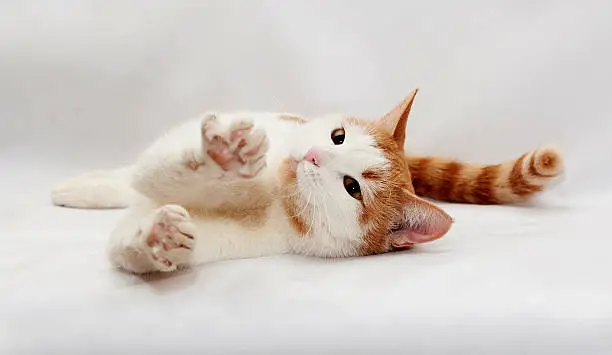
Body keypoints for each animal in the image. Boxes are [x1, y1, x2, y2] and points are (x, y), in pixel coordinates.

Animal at [50, 89, 560, 276]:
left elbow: (129, 242)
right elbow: (167, 169)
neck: (271, 190)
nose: (315, 155)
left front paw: (158, 238)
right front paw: (225, 156)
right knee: (133, 178)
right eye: (338, 136)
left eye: (352, 187)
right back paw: (79, 188)